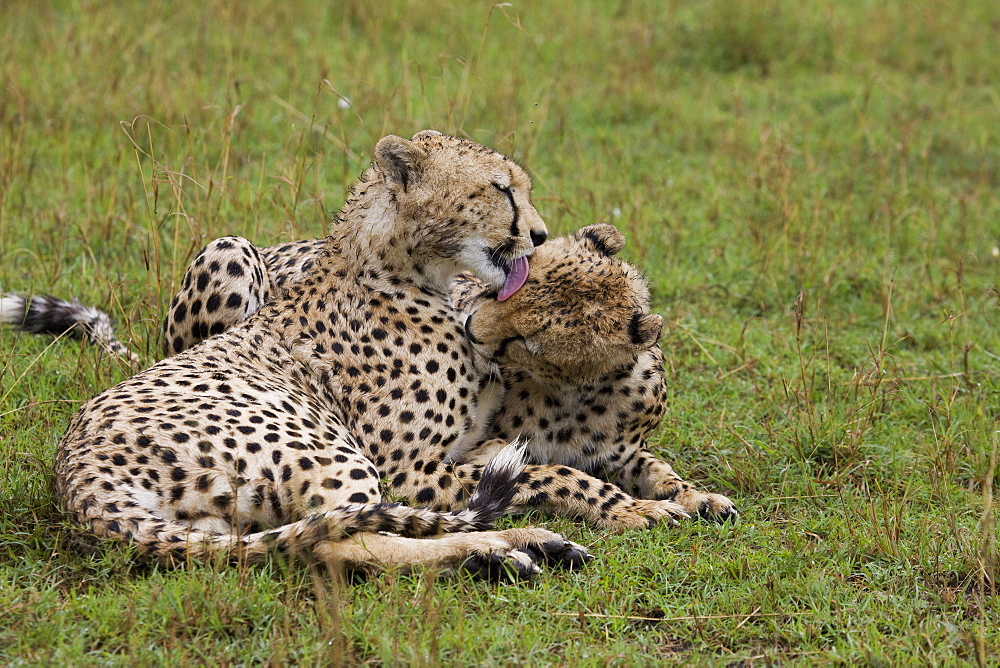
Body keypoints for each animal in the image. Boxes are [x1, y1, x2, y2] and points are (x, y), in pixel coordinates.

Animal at [54, 132, 588, 580]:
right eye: (501, 189)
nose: (540, 235)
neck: (396, 268)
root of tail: (78, 477)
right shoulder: (407, 471)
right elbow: (541, 474)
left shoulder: (469, 445)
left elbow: (519, 457)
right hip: (327, 449)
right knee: (339, 540)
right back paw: (504, 547)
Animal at [450, 224, 740, 528]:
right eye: (502, 292)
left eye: (523, 340)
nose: (469, 328)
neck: (570, 393)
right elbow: (565, 476)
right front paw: (636, 509)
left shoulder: (622, 454)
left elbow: (659, 469)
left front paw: (699, 497)